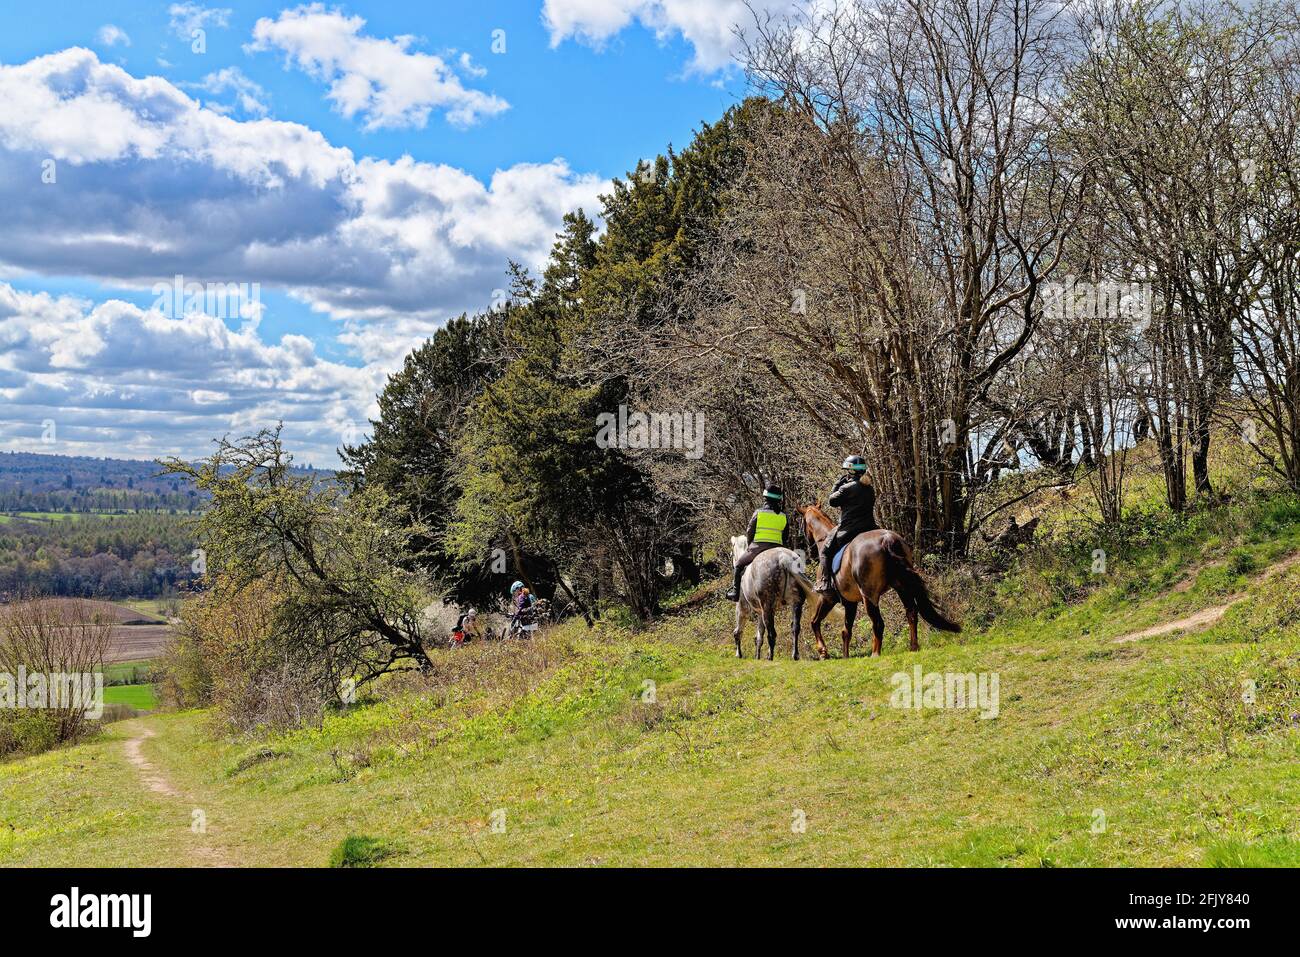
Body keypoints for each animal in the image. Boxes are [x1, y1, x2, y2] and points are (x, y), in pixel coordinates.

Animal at [785, 501, 961, 657]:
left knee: (878, 623)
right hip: (901, 586)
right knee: (911, 613)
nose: (807, 545)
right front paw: (845, 657)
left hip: (869, 595)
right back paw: (913, 647)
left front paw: (823, 652)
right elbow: (846, 631)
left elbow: (814, 622)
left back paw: (875, 654)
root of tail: (887, 539)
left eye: (802, 524)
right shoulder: (850, 602)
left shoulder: (828, 598)